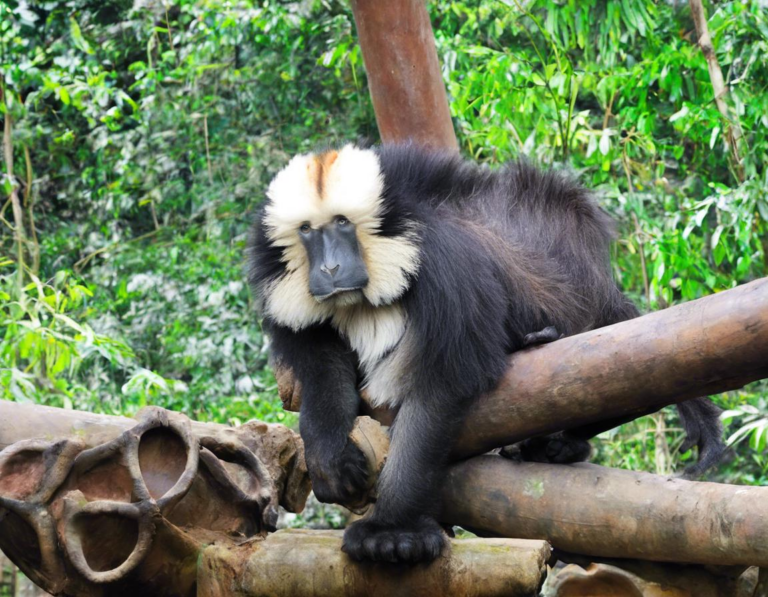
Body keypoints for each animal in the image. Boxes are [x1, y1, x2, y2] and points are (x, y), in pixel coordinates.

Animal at [248, 143, 728, 564]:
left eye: (343, 223)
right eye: (307, 231)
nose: (329, 269)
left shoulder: (444, 266)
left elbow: (439, 390)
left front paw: (392, 529)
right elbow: (322, 375)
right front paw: (329, 459)